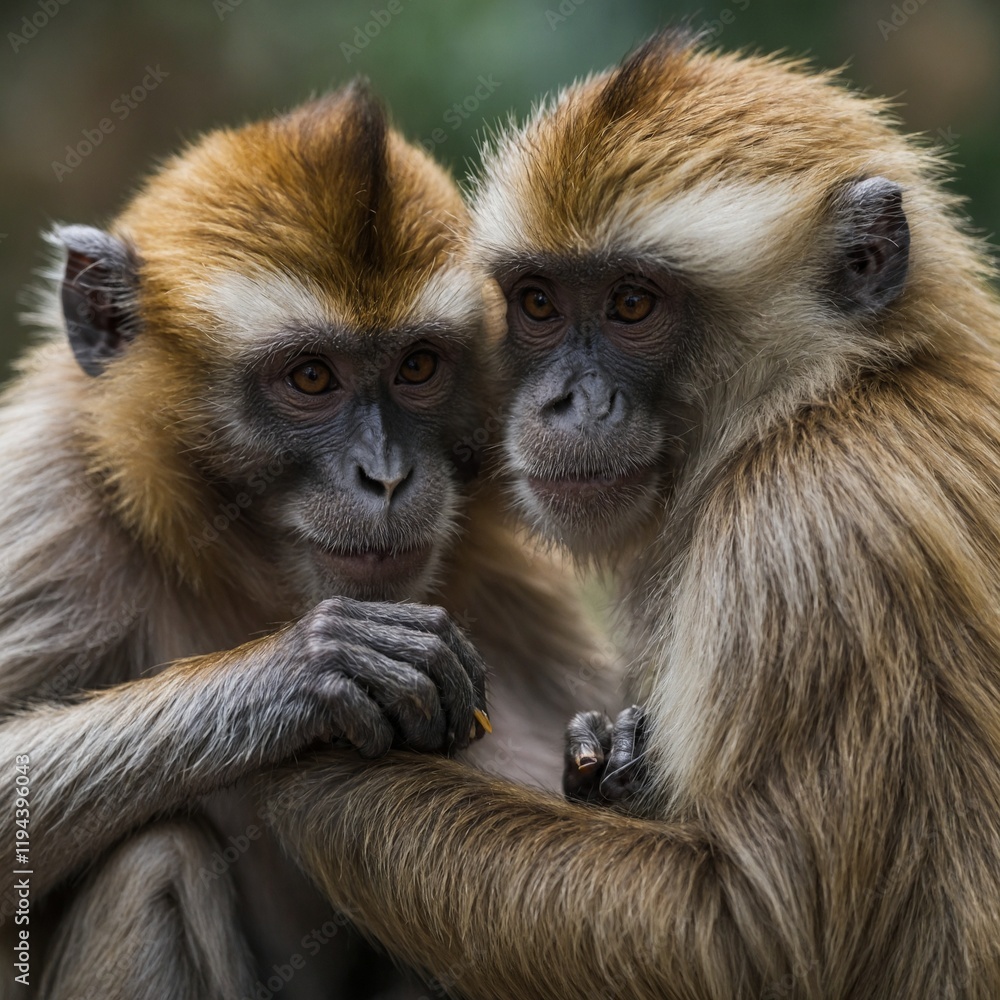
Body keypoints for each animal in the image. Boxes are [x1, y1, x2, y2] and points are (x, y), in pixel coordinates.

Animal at [0, 85, 615, 999]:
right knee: (153, 860)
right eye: (312, 377)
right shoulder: (48, 502)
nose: (386, 476)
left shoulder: (503, 572)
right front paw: (310, 667)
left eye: (418, 366)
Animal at [260, 34, 1000, 999]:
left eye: (633, 303)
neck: (829, 393)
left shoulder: (811, 530)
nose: (564, 401)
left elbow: (749, 946)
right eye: (538, 302)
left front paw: (304, 759)